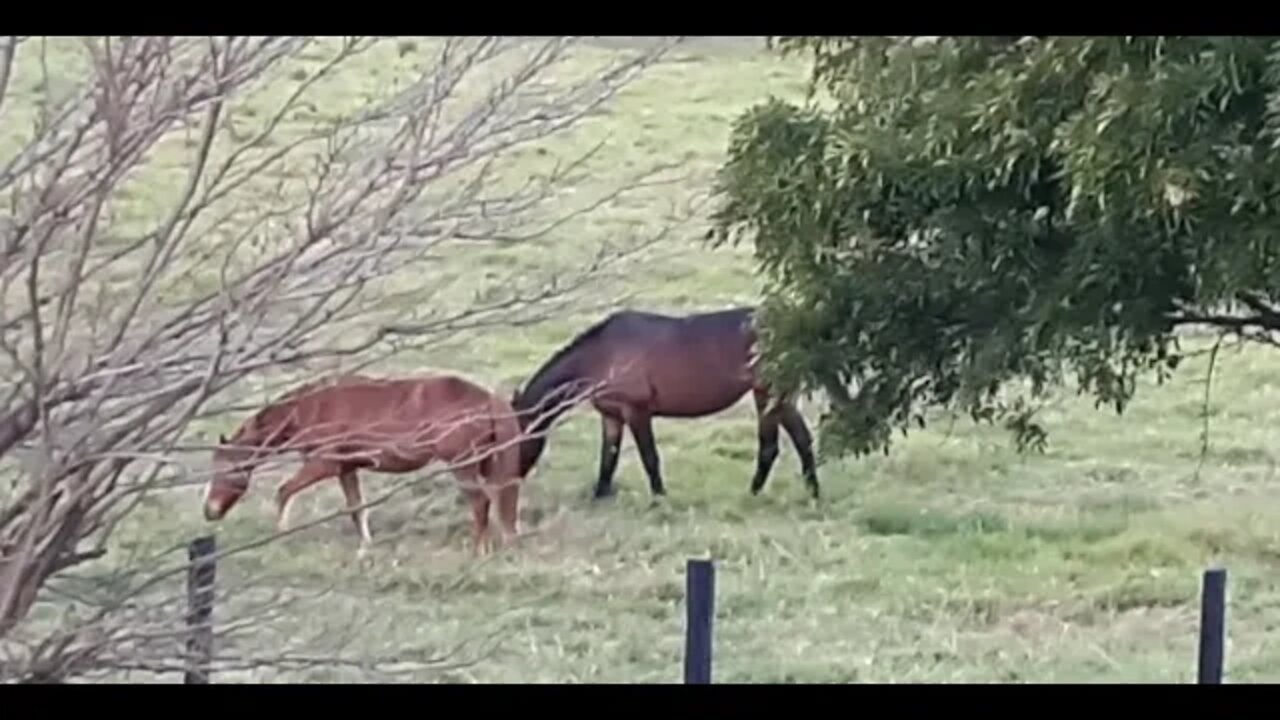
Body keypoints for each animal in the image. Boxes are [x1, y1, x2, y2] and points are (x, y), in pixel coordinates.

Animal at [204, 371, 524, 550]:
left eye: (224, 468)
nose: (210, 512)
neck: (309, 408)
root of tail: (488, 398)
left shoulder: (324, 464)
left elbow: (284, 491)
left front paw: (280, 535)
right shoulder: (346, 468)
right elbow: (357, 508)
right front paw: (365, 548)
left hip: (463, 464)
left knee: (480, 501)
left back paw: (478, 550)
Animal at [509, 307, 819, 499]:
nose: (509, 481)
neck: (601, 356)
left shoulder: (636, 411)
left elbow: (649, 457)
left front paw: (659, 498)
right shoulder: (612, 416)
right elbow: (608, 459)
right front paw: (599, 496)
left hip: (767, 392)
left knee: (773, 444)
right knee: (797, 439)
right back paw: (811, 493)